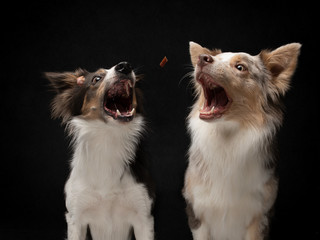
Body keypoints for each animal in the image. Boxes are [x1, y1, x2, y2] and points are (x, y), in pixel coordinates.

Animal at [184, 42, 302, 239]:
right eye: (214, 57)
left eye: (240, 67)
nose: (202, 58)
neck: (227, 137)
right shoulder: (198, 213)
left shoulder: (259, 216)